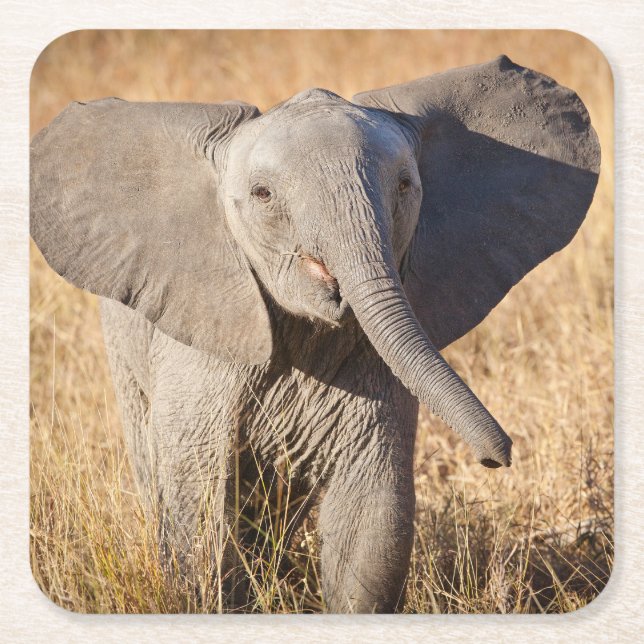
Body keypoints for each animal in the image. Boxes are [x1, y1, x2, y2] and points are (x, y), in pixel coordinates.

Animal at [30, 55, 600, 613]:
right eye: (262, 195)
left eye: (404, 186)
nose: (497, 457)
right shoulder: (200, 347)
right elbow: (200, 510)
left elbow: (370, 520)